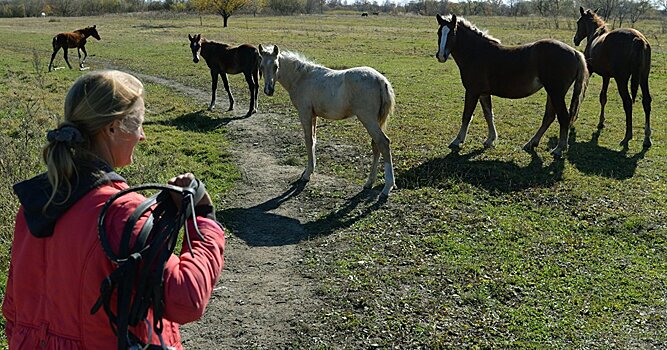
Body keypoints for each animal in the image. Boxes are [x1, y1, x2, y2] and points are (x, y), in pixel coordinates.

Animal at [436, 13, 588, 156]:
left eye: (452, 33)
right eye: (439, 33)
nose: (441, 56)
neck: (476, 53)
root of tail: (575, 52)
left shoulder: (472, 91)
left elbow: (467, 115)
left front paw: (457, 140)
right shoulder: (483, 93)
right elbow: (488, 114)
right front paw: (490, 139)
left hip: (556, 93)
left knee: (564, 117)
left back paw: (559, 148)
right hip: (552, 93)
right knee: (549, 117)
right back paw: (531, 143)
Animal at [576, 6, 652, 148]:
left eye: (578, 22)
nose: (575, 39)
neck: (595, 35)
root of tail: (638, 39)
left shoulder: (590, 71)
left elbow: (583, 92)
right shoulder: (606, 76)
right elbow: (603, 98)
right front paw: (601, 122)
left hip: (622, 80)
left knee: (628, 102)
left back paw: (627, 136)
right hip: (643, 78)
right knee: (646, 101)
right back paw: (647, 138)